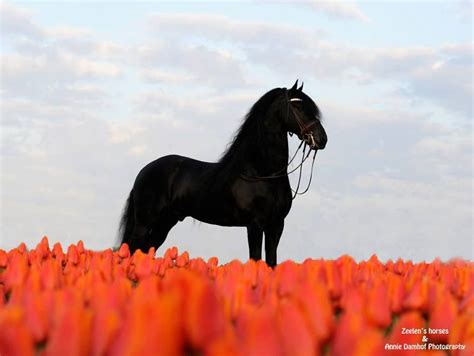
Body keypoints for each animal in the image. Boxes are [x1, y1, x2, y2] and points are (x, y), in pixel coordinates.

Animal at [118, 80, 326, 264]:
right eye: (297, 106)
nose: (322, 139)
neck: (263, 173)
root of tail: (144, 171)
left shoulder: (276, 225)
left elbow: (271, 263)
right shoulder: (255, 225)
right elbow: (256, 259)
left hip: (166, 222)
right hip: (144, 223)